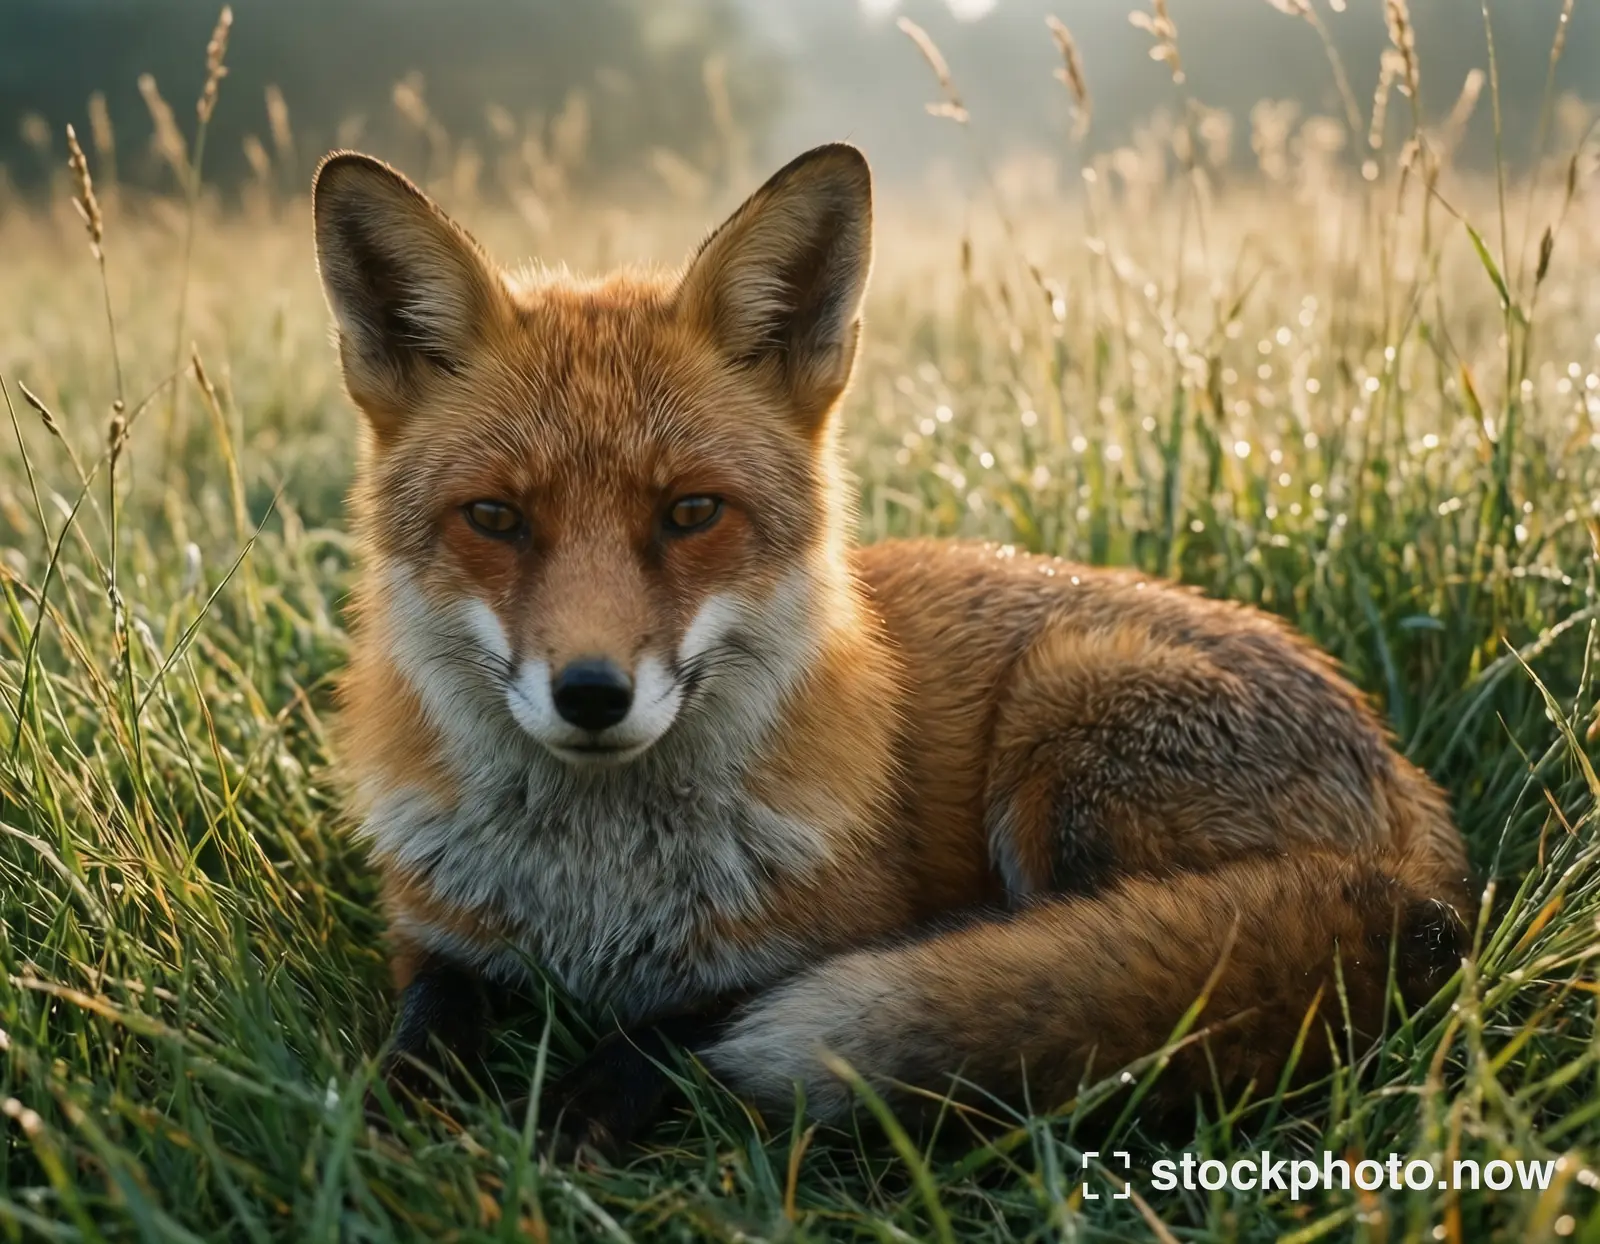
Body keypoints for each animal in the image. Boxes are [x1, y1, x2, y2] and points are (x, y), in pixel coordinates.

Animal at [312, 141, 1472, 1157]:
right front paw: (378, 1129)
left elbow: (672, 1029)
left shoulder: (815, 940)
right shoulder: (435, 937)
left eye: (692, 512)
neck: (594, 893)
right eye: (495, 518)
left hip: (1065, 725)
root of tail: (1420, 826)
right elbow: (418, 1037)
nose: (592, 693)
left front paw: (578, 1107)